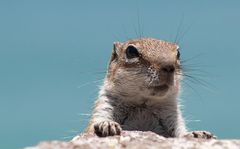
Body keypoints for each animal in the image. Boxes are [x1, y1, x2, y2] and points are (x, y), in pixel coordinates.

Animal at [85, 37, 215, 139]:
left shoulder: (172, 116)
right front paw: (107, 124)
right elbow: (93, 125)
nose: (169, 66)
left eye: (178, 53)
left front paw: (198, 134)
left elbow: (181, 133)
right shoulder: (105, 105)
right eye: (131, 51)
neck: (143, 105)